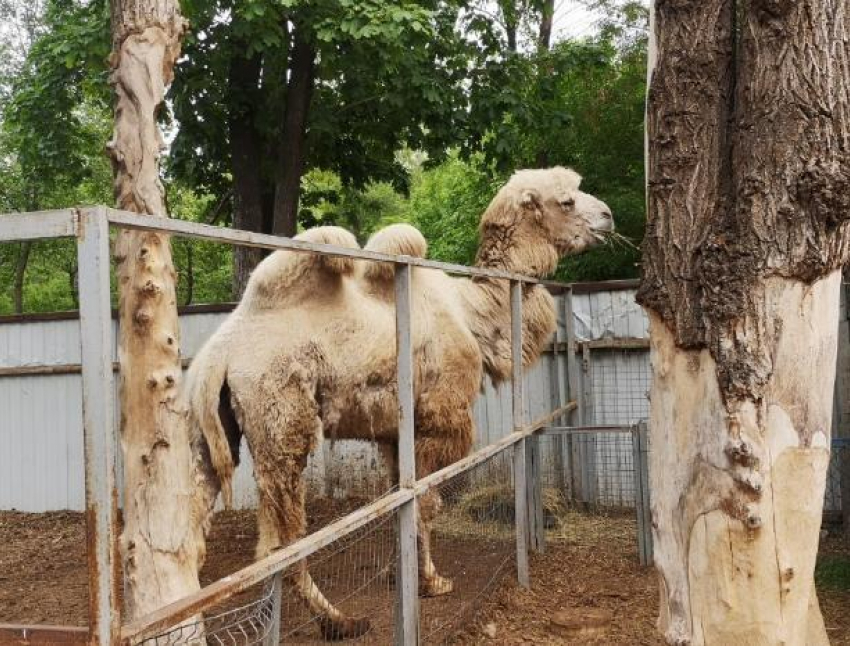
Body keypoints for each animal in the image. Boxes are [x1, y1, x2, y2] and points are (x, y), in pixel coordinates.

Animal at [184, 167, 608, 644]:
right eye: (566, 200)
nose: (608, 217)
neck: (472, 317)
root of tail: (219, 355)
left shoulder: (392, 432)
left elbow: (398, 499)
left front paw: (396, 573)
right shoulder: (441, 419)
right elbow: (426, 502)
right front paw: (430, 582)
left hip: (210, 428)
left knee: (191, 537)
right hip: (280, 418)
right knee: (280, 543)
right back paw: (339, 621)